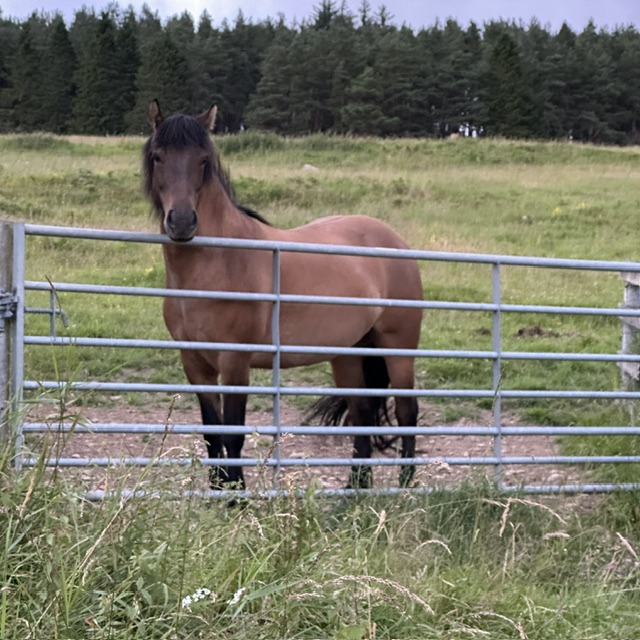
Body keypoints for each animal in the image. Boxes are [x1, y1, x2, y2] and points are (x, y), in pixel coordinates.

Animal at [143, 100, 424, 490]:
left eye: (203, 159)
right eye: (158, 156)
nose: (182, 222)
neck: (218, 262)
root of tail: (395, 241)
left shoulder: (235, 362)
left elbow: (233, 435)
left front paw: (237, 498)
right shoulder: (194, 363)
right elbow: (212, 434)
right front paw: (217, 494)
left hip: (398, 347)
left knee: (407, 411)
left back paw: (403, 488)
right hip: (348, 353)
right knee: (362, 411)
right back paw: (355, 491)